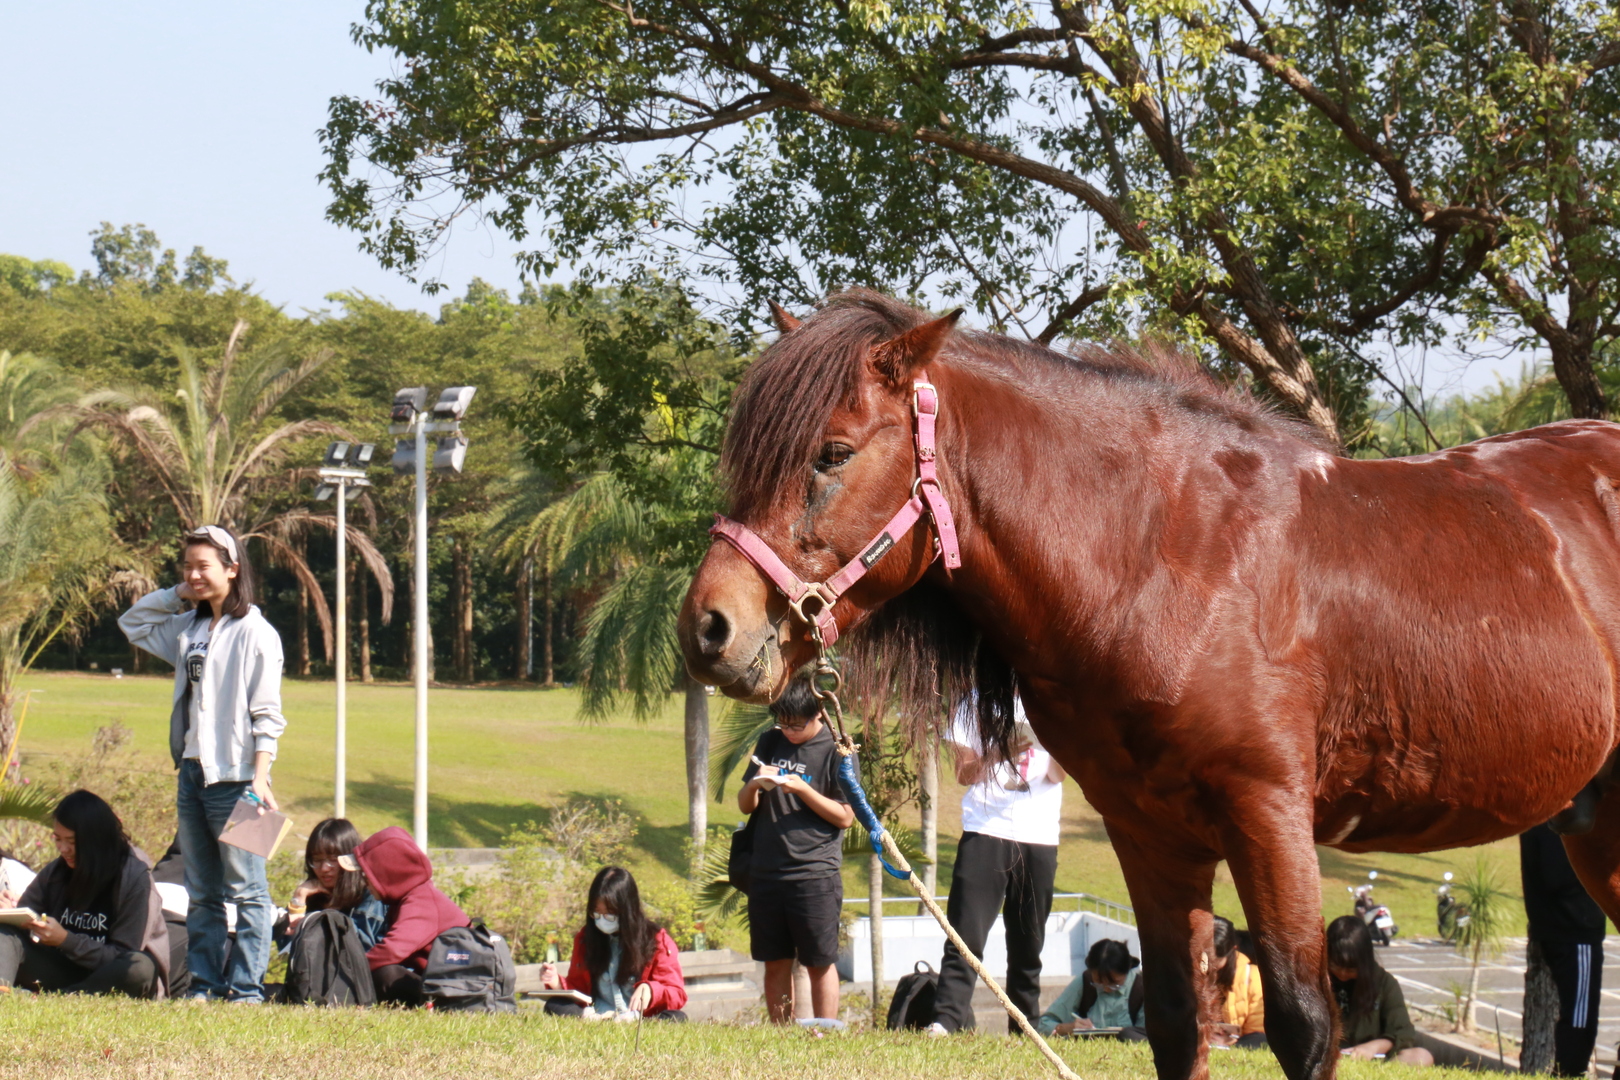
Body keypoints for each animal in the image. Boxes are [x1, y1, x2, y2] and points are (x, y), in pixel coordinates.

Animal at [676, 289, 1620, 1080]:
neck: (1172, 555)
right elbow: (1174, 1016)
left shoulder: (1270, 816)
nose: (707, 628)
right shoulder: (1151, 833)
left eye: (831, 452)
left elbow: (1305, 1023)